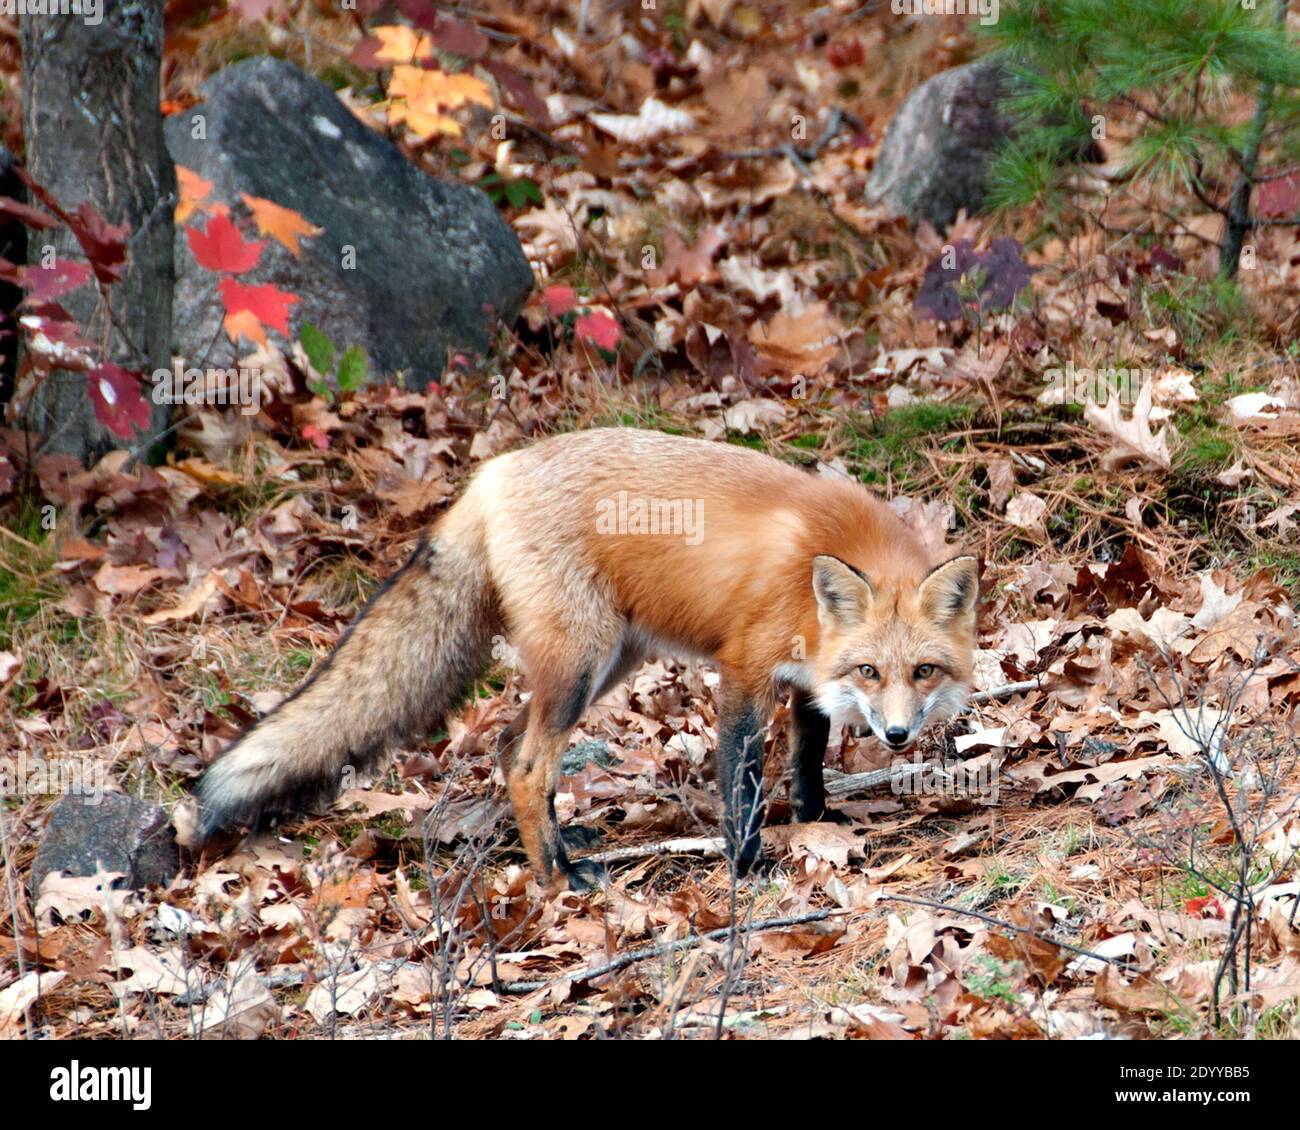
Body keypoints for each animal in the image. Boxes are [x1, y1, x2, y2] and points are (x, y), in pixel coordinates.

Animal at [195, 426, 977, 884]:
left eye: (922, 672)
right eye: (872, 670)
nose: (897, 735)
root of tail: (493, 472)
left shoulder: (808, 679)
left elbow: (808, 756)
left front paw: (818, 823)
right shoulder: (744, 672)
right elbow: (744, 783)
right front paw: (748, 865)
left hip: (606, 663)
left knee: (509, 744)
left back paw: (558, 845)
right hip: (581, 663)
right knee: (528, 763)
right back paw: (556, 877)